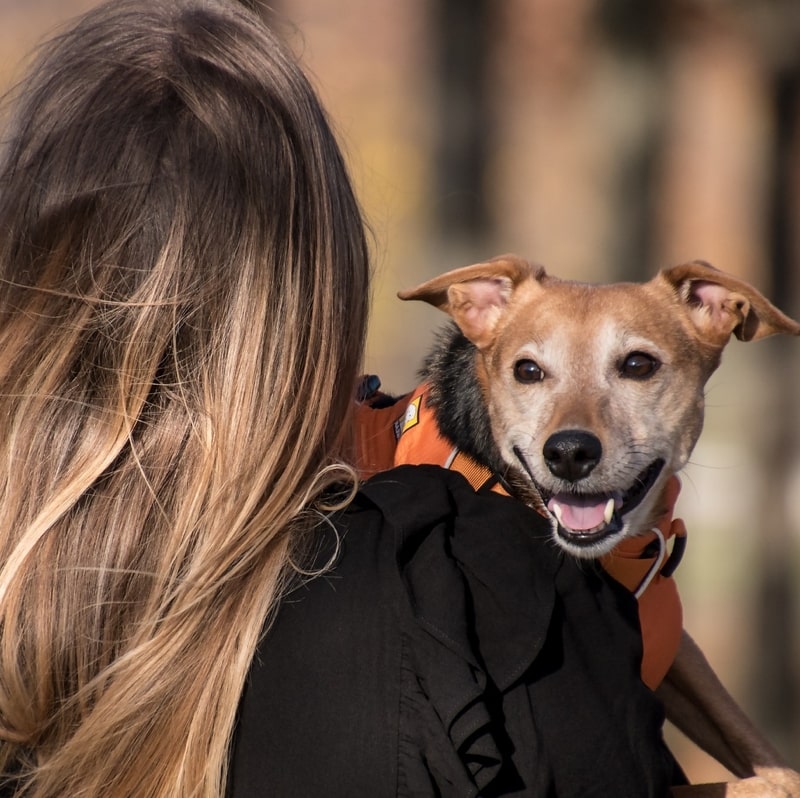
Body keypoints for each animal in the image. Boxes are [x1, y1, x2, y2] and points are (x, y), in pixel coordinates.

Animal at [390, 258, 800, 798]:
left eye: (638, 365)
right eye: (527, 371)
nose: (568, 453)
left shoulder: (680, 652)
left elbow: (765, 757)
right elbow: (764, 785)